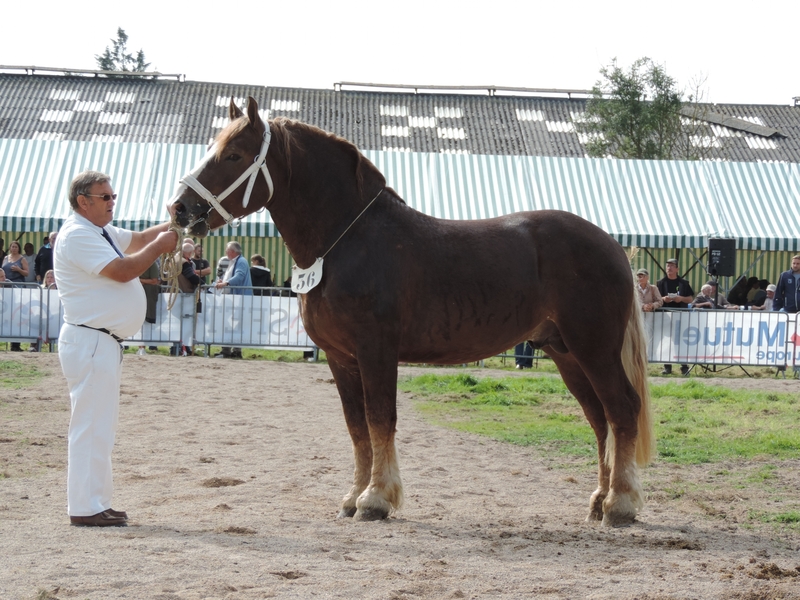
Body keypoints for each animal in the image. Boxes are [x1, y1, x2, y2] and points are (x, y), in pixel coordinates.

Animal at [172, 97, 652, 524]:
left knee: (623, 410)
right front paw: (353, 496)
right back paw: (599, 500)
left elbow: (380, 418)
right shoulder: (340, 358)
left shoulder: (376, 350)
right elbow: (357, 427)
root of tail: (612, 245)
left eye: (234, 154)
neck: (347, 241)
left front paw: (376, 499)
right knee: (601, 420)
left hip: (594, 349)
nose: (180, 209)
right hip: (565, 352)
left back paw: (620, 505)